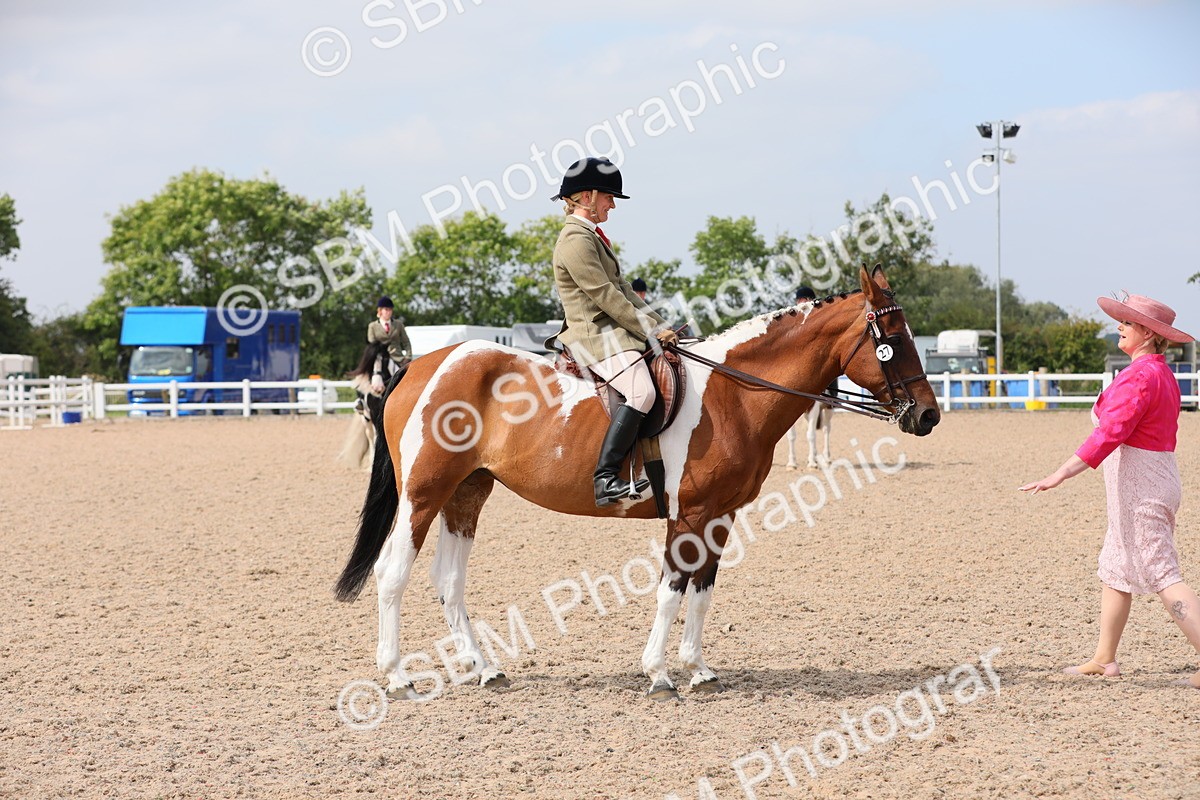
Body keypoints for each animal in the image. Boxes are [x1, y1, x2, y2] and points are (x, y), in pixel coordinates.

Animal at [335, 265, 941, 700]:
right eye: (890, 337)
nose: (928, 416)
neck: (732, 394)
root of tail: (420, 366)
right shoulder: (688, 514)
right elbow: (672, 590)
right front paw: (659, 674)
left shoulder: (720, 515)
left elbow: (703, 591)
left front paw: (699, 669)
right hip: (423, 495)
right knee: (393, 574)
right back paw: (396, 676)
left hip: (467, 492)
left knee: (449, 581)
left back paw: (485, 670)